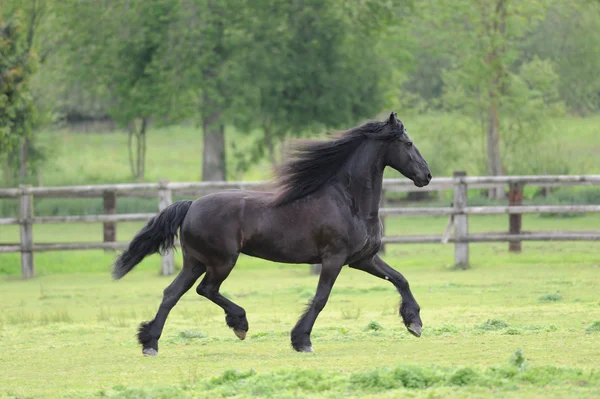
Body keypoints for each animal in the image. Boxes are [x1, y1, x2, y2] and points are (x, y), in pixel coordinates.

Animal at [112, 112, 432, 356]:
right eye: (408, 142)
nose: (426, 176)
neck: (348, 201)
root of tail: (191, 205)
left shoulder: (363, 259)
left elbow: (400, 279)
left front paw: (414, 323)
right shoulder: (334, 258)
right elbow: (321, 298)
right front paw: (302, 341)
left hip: (195, 261)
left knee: (172, 294)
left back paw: (150, 343)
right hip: (221, 261)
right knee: (206, 289)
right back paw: (239, 324)